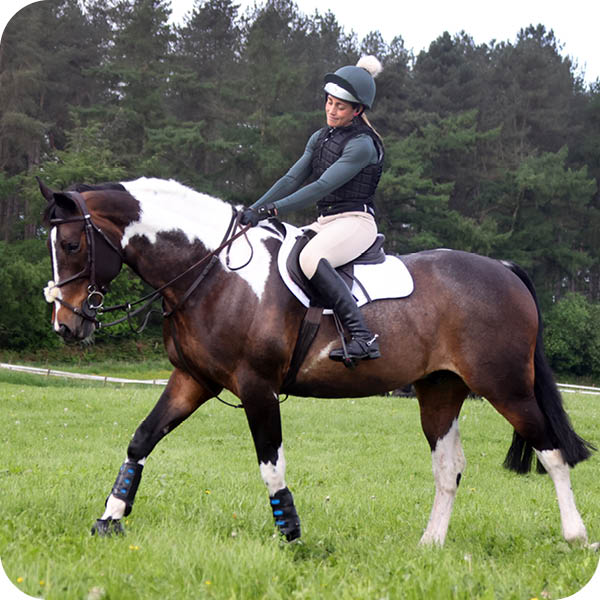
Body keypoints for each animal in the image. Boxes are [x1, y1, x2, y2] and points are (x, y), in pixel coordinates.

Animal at [38, 176, 596, 548]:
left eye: (72, 244)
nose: (66, 324)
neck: (213, 272)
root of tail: (501, 268)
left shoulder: (256, 387)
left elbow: (270, 464)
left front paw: (290, 536)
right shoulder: (192, 379)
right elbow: (142, 439)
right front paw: (110, 518)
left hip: (506, 386)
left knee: (551, 452)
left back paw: (574, 536)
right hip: (440, 390)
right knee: (449, 468)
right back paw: (430, 546)